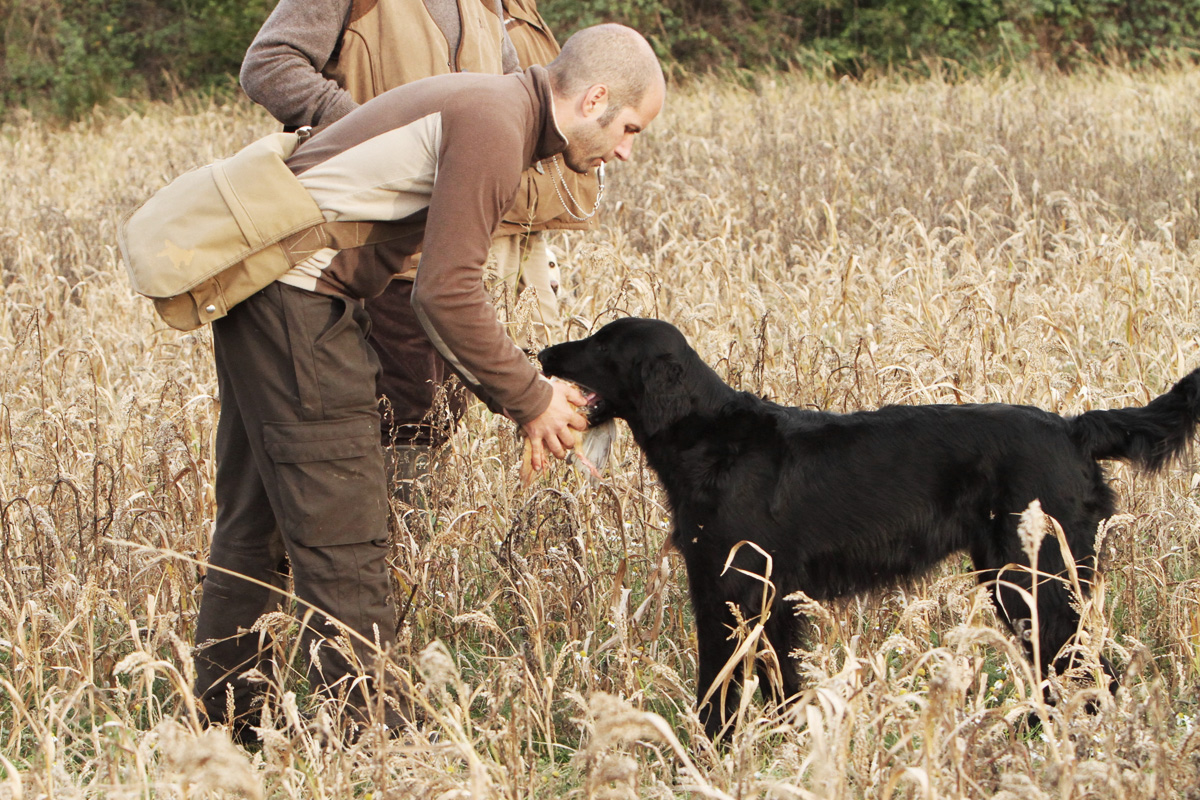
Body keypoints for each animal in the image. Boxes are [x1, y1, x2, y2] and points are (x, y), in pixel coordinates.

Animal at [542, 316, 1200, 738]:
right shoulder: (759, 599)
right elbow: (775, 685)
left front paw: (710, 753)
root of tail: (1072, 428)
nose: (543, 352)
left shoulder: (738, 591)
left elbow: (721, 688)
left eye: (602, 343)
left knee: (1092, 672)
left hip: (1037, 581)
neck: (709, 437)